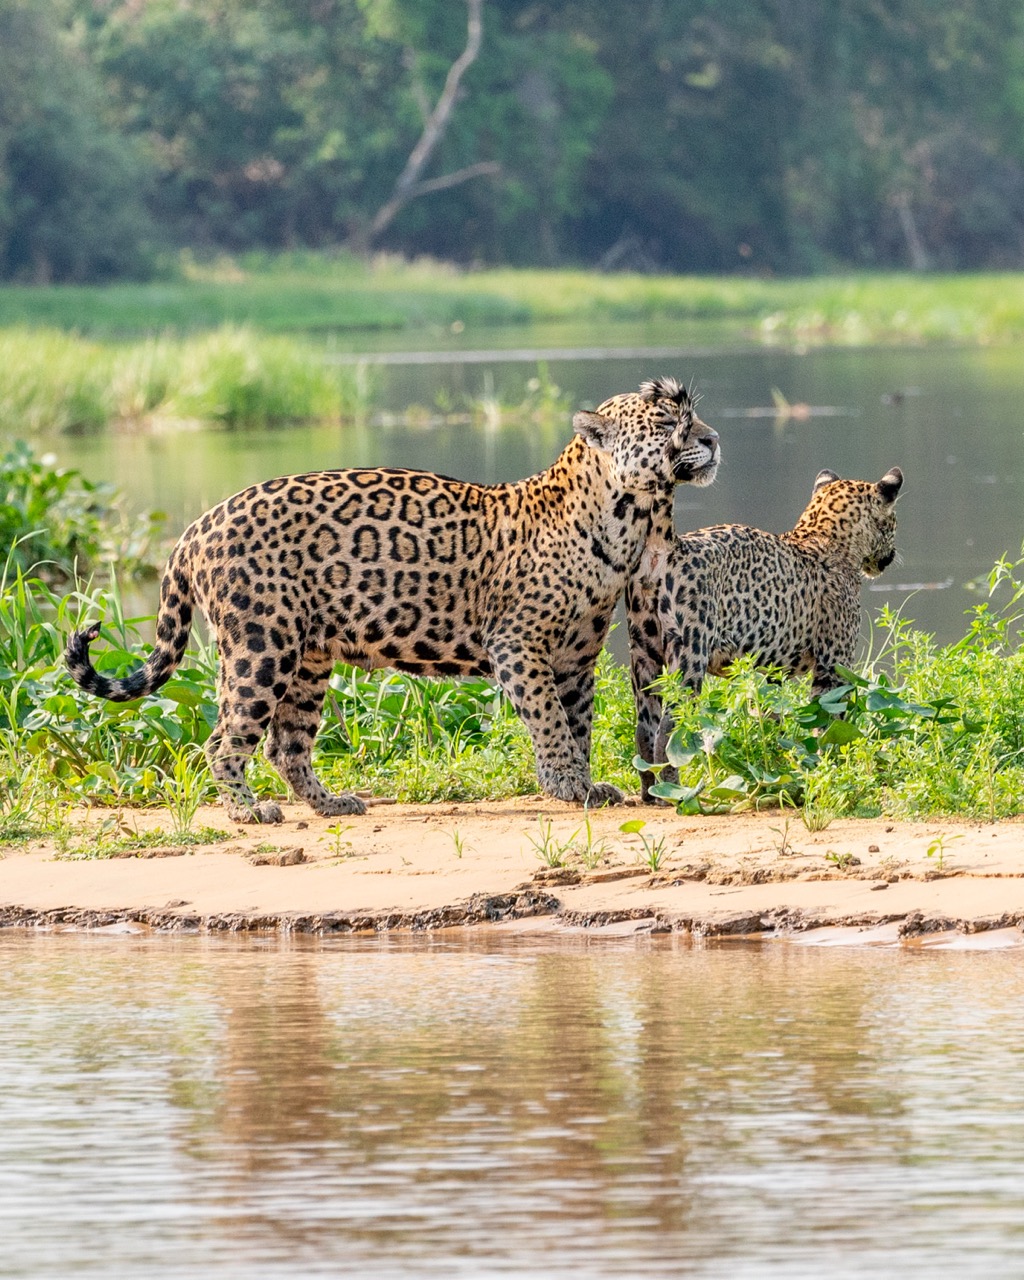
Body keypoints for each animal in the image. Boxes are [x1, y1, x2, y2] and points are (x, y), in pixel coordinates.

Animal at [66, 377, 720, 823]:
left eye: (694, 419)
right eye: (667, 423)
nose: (714, 439)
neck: (626, 517)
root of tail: (196, 526)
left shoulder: (576, 657)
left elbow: (578, 723)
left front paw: (582, 784)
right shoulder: (518, 646)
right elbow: (552, 722)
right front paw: (568, 786)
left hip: (308, 659)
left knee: (286, 742)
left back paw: (330, 802)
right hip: (259, 647)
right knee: (224, 736)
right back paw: (248, 810)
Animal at [626, 465, 903, 799]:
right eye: (893, 522)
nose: (891, 555)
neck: (823, 535)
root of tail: (672, 545)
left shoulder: (771, 670)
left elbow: (770, 714)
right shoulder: (835, 666)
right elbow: (828, 721)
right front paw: (831, 766)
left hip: (644, 651)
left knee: (644, 727)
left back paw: (650, 791)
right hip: (689, 650)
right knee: (670, 726)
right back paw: (675, 790)